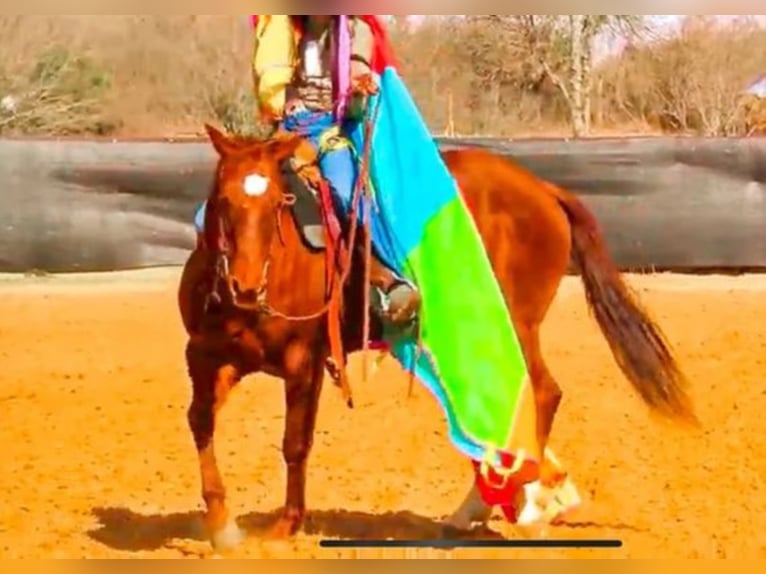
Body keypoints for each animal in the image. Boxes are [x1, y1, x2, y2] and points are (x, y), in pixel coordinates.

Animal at [178, 127, 696, 552]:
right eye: (223, 201)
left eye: (279, 204)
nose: (246, 286)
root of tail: (543, 190)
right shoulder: (206, 356)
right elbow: (200, 421)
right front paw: (222, 525)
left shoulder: (303, 361)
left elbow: (295, 443)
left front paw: (285, 526)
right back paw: (487, 505)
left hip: (515, 323)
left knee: (542, 392)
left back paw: (526, 505)